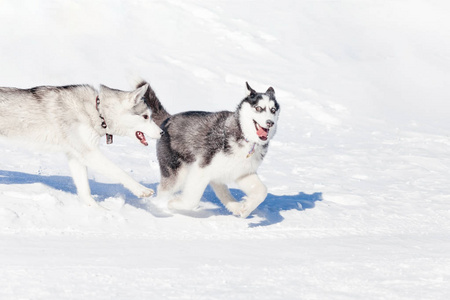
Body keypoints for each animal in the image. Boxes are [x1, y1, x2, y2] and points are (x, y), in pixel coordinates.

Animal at [0, 83, 162, 205]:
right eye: (145, 116)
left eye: (150, 116)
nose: (162, 133)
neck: (98, 111)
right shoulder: (89, 153)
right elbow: (118, 171)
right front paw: (141, 190)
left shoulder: (75, 155)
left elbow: (85, 190)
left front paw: (99, 211)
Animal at [142, 82, 282, 218]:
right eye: (259, 108)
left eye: (273, 110)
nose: (270, 123)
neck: (244, 137)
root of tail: (168, 118)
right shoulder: (201, 169)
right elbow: (192, 200)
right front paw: (173, 204)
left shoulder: (243, 173)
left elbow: (262, 191)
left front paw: (247, 208)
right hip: (177, 173)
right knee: (163, 190)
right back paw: (160, 205)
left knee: (220, 187)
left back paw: (236, 207)